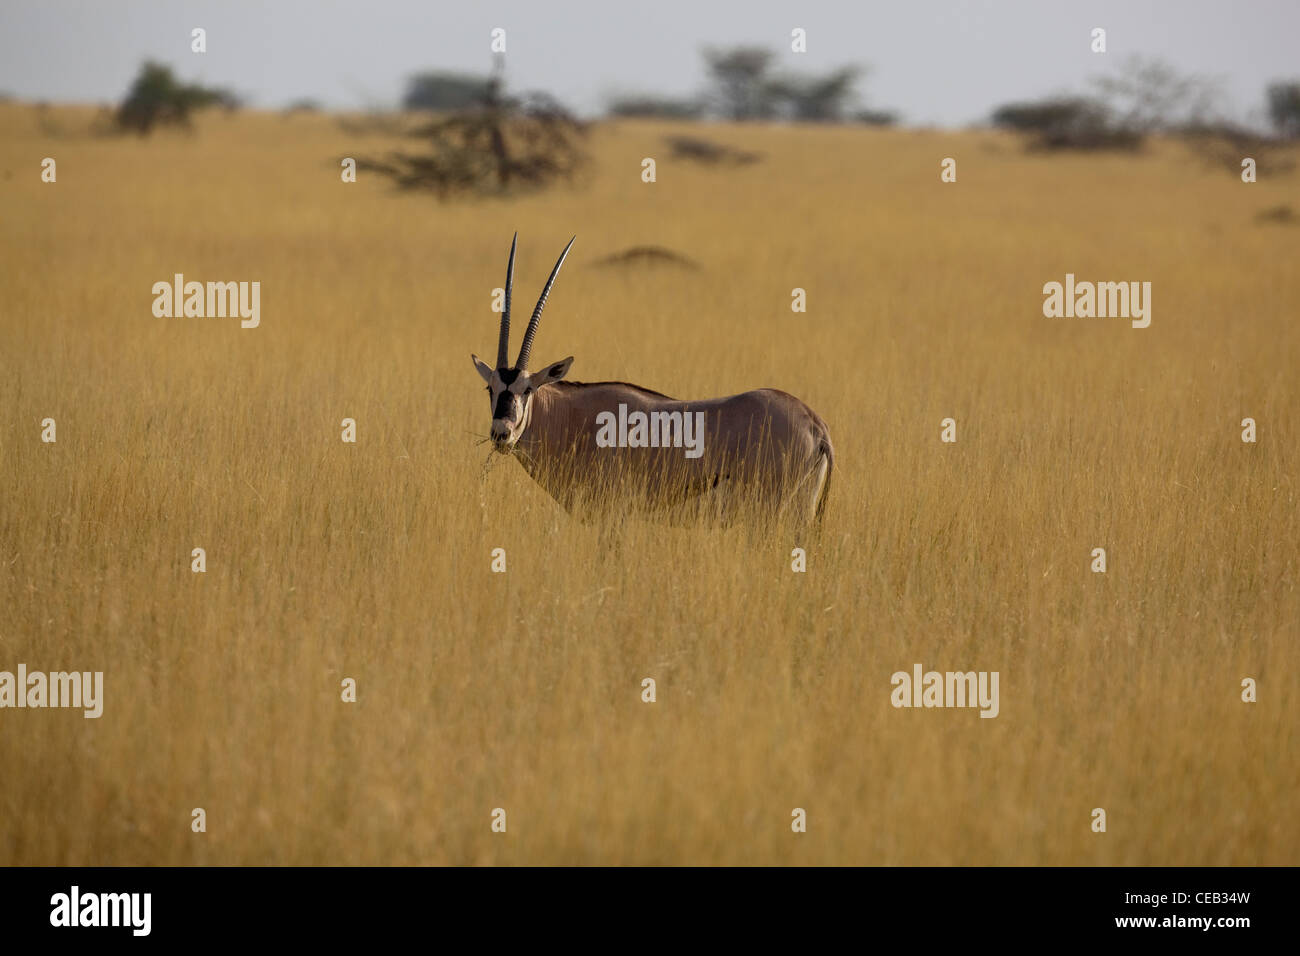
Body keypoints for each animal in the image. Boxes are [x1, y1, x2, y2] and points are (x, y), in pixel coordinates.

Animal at [475, 234, 832, 528]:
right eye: (491, 388)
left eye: (528, 389)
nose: (501, 433)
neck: (571, 417)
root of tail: (814, 423)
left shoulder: (613, 516)